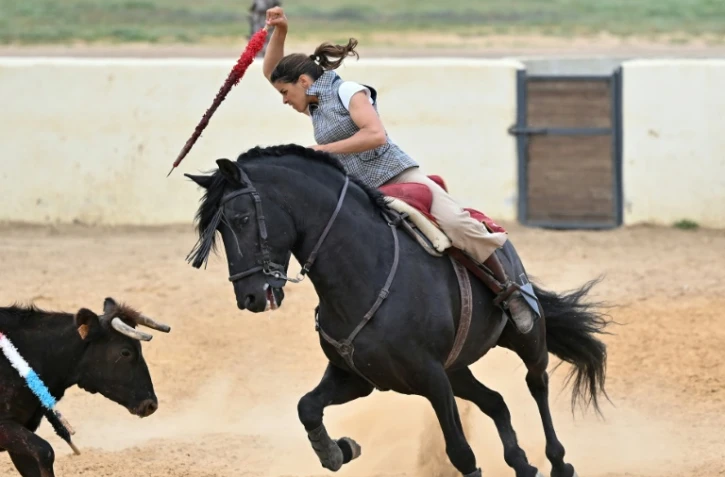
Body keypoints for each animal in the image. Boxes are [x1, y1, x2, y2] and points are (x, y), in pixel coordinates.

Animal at [184, 143, 612, 477]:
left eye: (241, 219)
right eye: (218, 229)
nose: (250, 297)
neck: (365, 273)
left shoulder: (431, 378)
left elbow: (460, 453)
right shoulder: (358, 377)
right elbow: (307, 407)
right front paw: (338, 450)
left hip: (525, 339)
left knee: (537, 384)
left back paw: (558, 462)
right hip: (458, 369)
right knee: (496, 401)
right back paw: (522, 463)